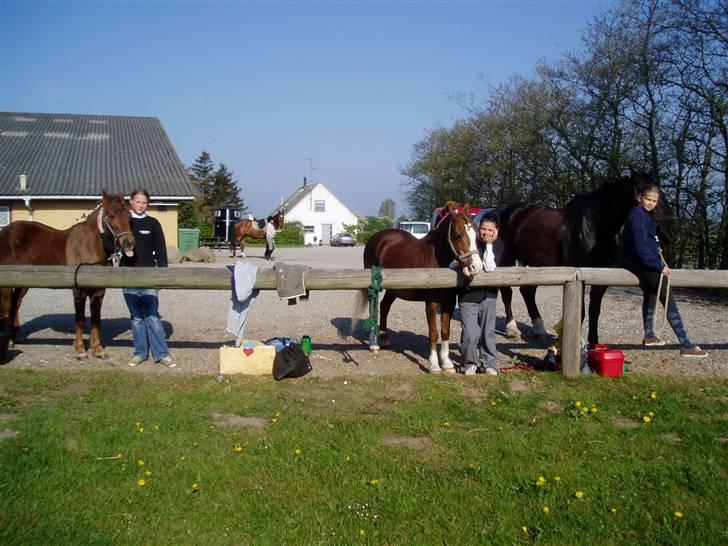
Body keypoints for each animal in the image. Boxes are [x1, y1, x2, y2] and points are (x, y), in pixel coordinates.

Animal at [0, 191, 135, 362]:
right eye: (110, 215)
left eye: (128, 215)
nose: (129, 243)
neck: (89, 246)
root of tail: (5, 232)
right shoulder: (78, 290)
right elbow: (80, 319)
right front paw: (80, 351)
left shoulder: (99, 292)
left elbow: (96, 319)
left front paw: (98, 350)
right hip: (6, 285)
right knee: (6, 308)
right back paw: (9, 341)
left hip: (22, 283)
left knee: (15, 304)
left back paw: (15, 338)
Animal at [354, 202, 484, 372]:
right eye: (457, 234)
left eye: (476, 233)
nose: (476, 267)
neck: (437, 260)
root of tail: (376, 238)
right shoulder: (431, 302)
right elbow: (434, 333)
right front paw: (434, 365)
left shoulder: (449, 302)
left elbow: (445, 331)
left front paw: (447, 364)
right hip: (374, 288)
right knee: (373, 309)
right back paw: (374, 344)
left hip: (394, 289)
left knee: (385, 306)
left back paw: (384, 338)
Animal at [498, 171, 680, 344]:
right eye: (649, 197)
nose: (672, 230)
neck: (594, 227)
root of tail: (510, 212)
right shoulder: (578, 276)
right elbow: (582, 311)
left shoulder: (601, 277)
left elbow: (595, 310)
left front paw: (593, 342)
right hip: (508, 259)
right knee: (507, 292)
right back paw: (512, 329)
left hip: (534, 263)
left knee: (528, 292)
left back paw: (539, 330)